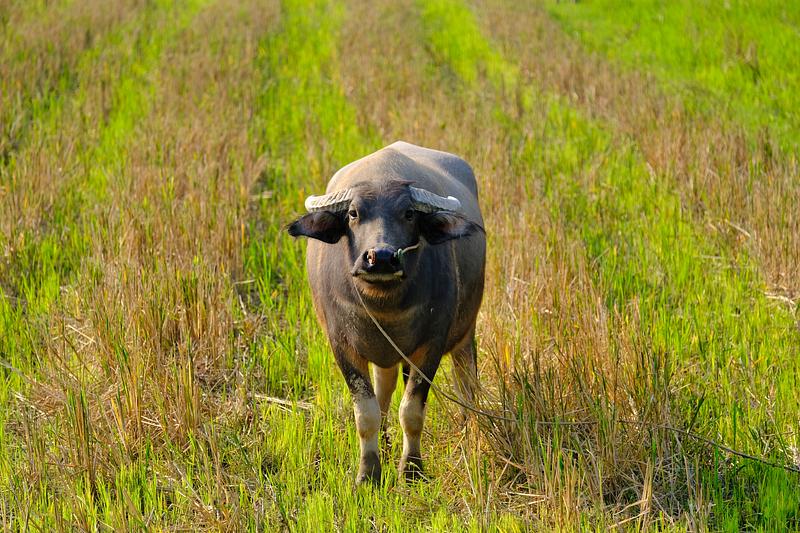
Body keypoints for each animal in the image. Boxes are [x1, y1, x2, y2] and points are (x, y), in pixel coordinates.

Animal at [287, 141, 486, 484]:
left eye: (408, 213)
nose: (380, 257)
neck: (384, 305)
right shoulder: (342, 345)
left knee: (466, 384)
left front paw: (412, 469)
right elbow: (366, 412)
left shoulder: (431, 346)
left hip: (465, 334)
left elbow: (411, 409)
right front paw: (368, 472)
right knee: (383, 392)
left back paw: (467, 429)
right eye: (353, 213)